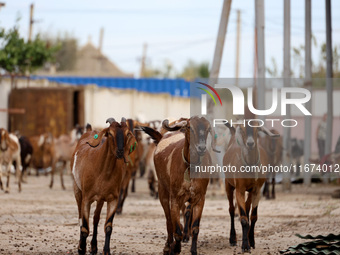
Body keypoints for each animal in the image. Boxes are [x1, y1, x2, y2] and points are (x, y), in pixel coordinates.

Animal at [71, 118, 137, 255]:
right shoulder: (87, 198)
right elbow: (84, 227)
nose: (120, 151)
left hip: (101, 199)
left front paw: (106, 251)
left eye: (127, 133)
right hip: (77, 189)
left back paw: (94, 247)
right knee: (80, 218)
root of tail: (90, 130)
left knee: (96, 218)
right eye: (110, 133)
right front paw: (81, 249)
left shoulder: (113, 199)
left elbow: (108, 227)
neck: (102, 171)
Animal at [140, 116, 218, 254]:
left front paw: (193, 250)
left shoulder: (199, 198)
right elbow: (176, 229)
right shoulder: (175, 198)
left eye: (208, 129)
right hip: (162, 191)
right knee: (169, 220)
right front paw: (175, 248)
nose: (201, 148)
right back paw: (168, 245)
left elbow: (195, 227)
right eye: (189, 127)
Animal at [224, 122, 278, 253]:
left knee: (247, 208)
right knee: (231, 210)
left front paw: (252, 241)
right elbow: (243, 218)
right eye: (243, 130)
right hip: (228, 185)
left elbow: (253, 216)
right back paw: (232, 239)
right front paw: (245, 246)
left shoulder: (257, 190)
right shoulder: (240, 189)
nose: (250, 143)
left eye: (256, 130)